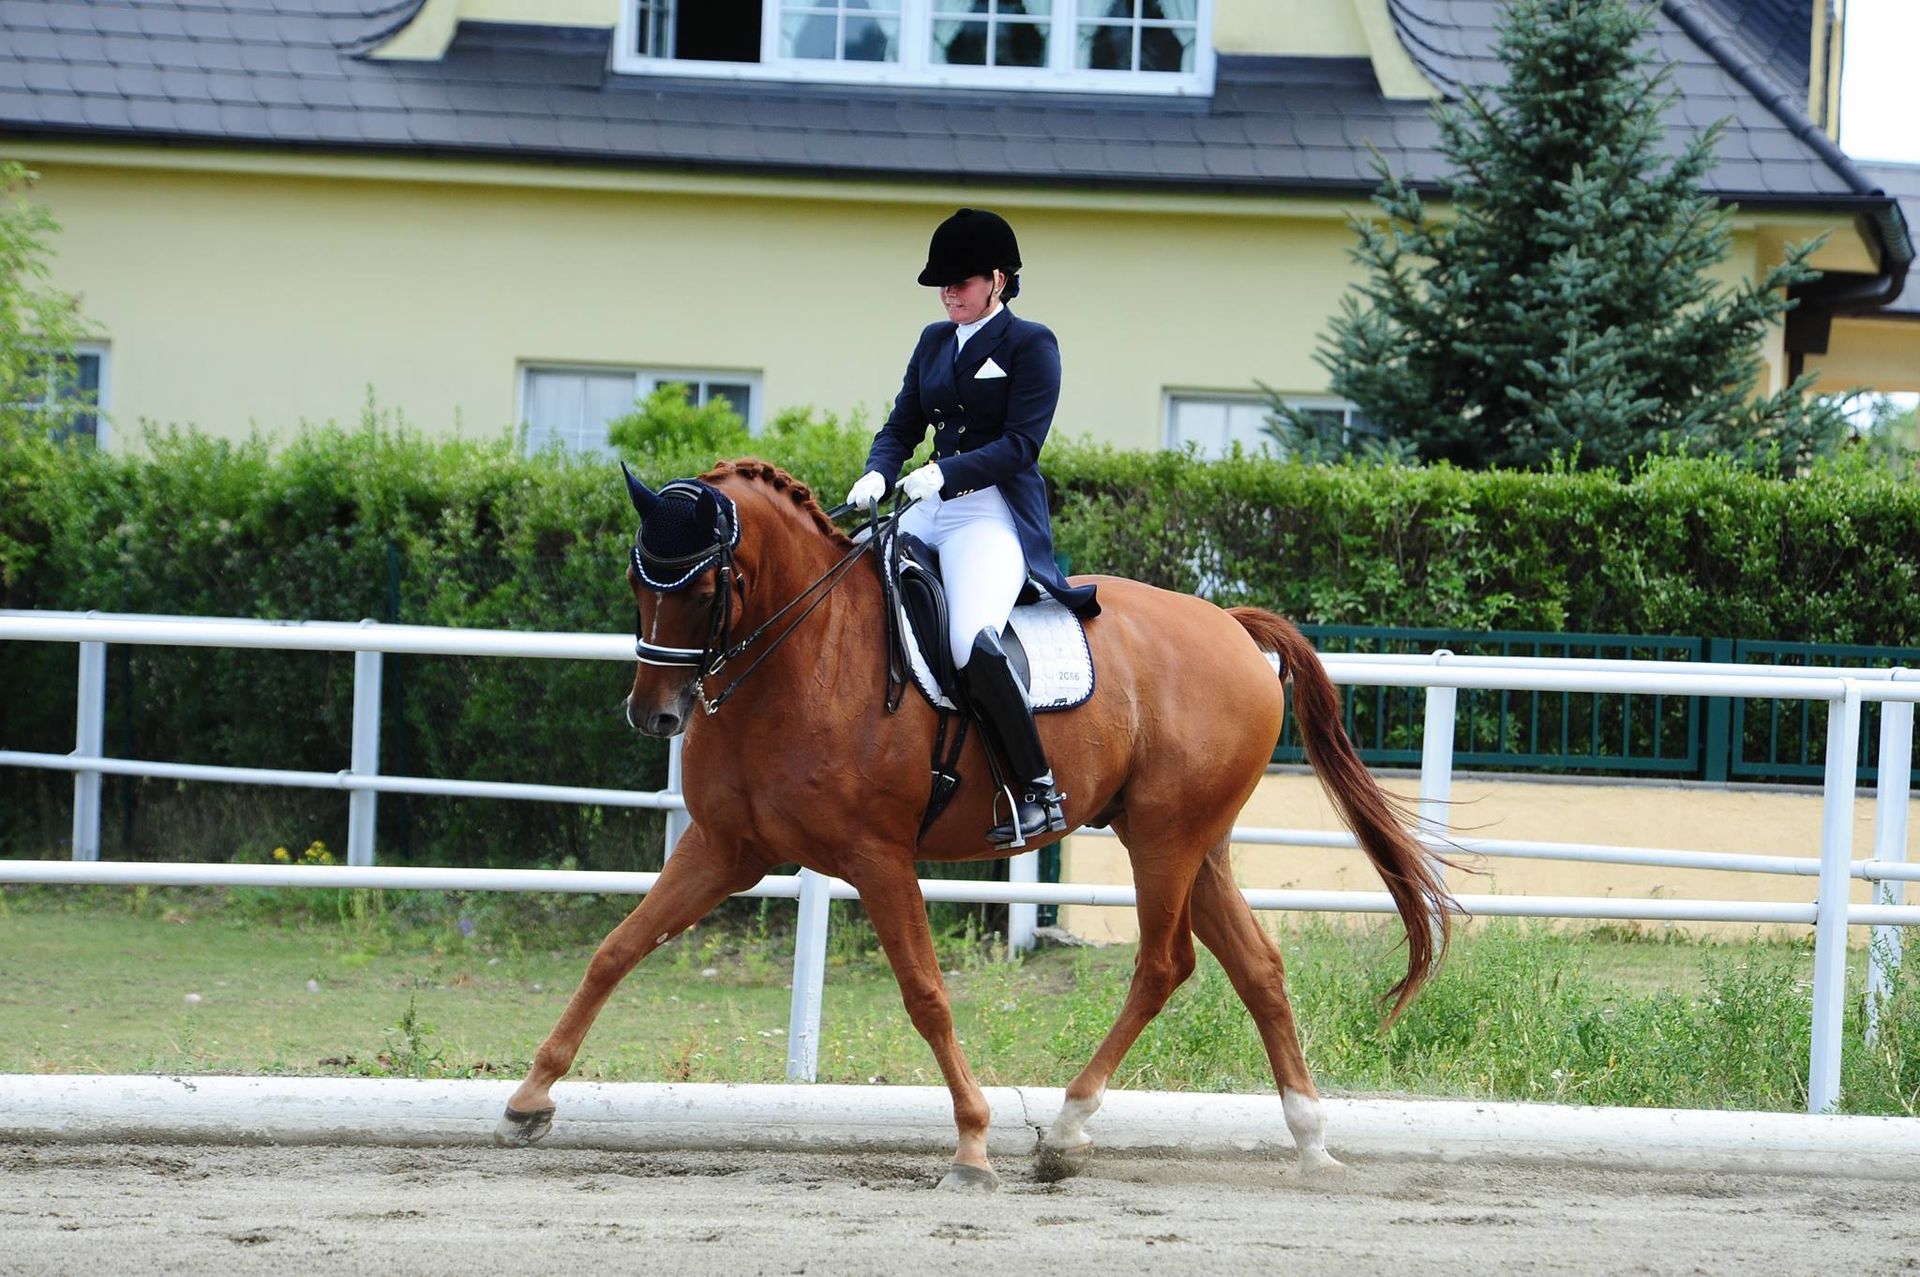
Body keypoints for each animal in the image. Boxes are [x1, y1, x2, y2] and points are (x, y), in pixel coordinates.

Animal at [496, 458, 1454, 1189]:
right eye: (637, 578)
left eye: (704, 584)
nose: (654, 713)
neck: (802, 654)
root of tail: (1231, 623)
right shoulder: (725, 848)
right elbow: (617, 948)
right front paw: (529, 1099)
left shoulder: (878, 856)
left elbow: (926, 993)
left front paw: (971, 1143)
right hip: (1196, 841)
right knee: (1257, 968)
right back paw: (1311, 1139)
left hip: (1165, 838)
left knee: (1164, 964)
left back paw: (1067, 1128)